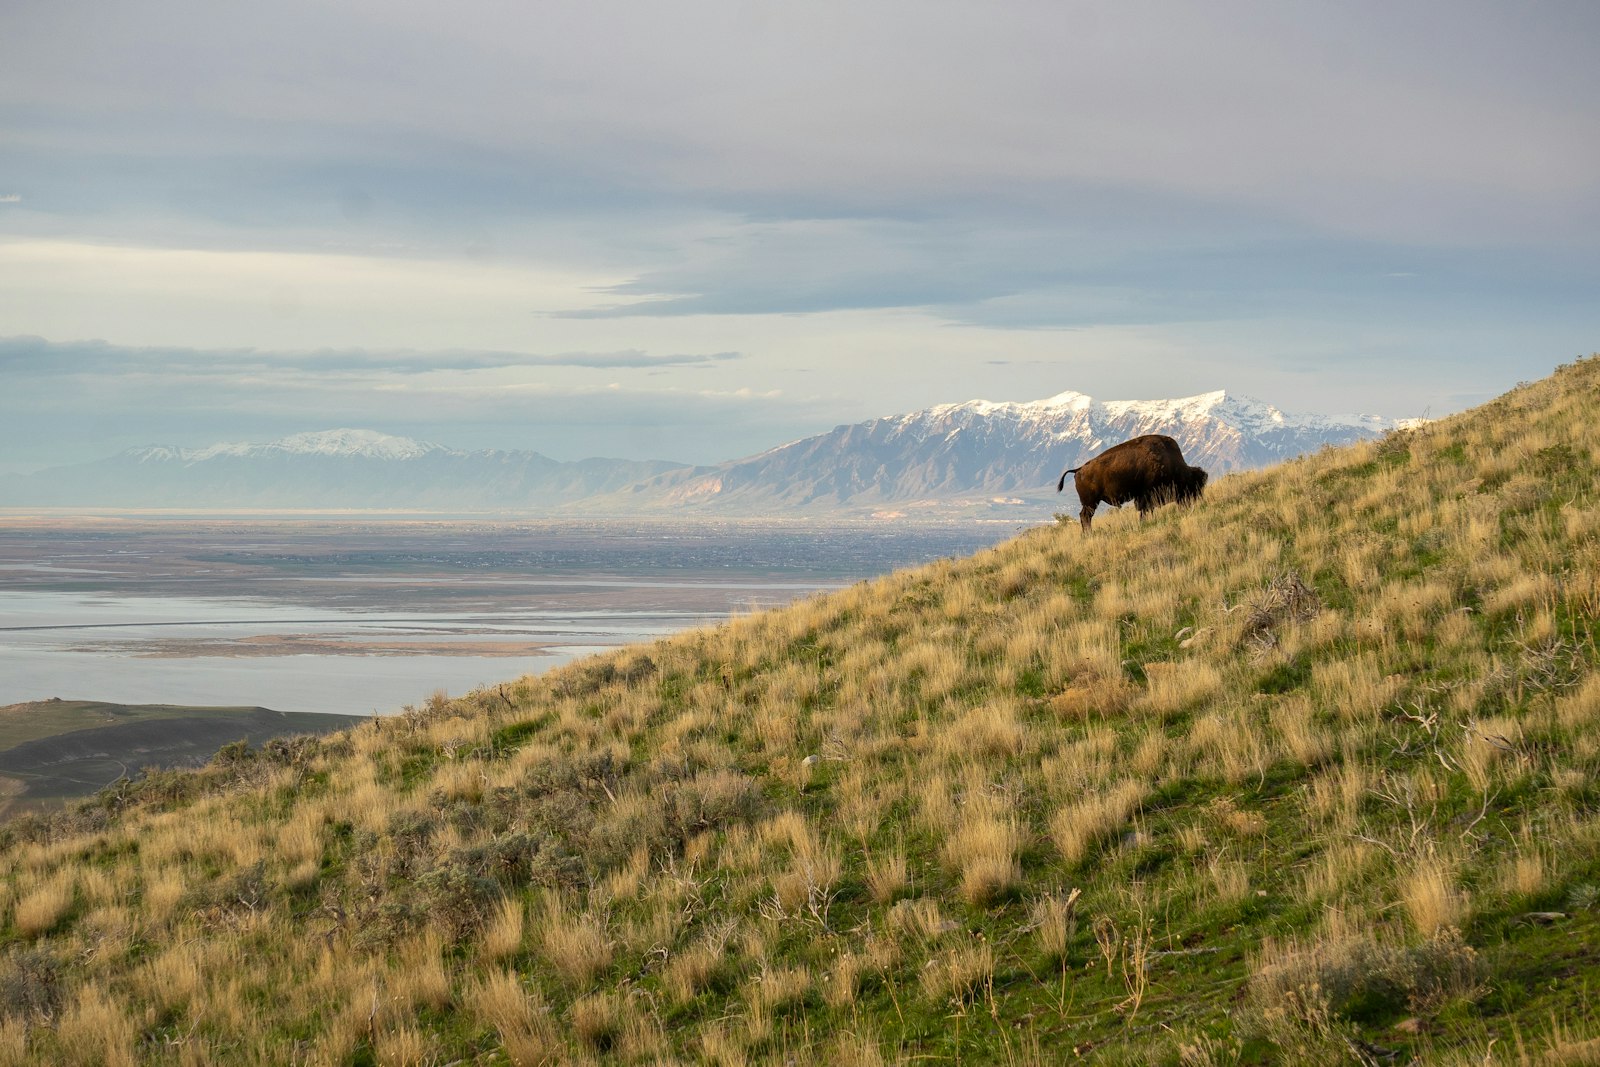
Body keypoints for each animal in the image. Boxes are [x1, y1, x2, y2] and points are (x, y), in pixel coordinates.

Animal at [1056, 434, 1207, 532]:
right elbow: (1144, 511)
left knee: (1085, 517)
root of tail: (1079, 469)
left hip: (1090, 503)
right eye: (1193, 485)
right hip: (1090, 503)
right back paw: (1088, 534)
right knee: (1085, 517)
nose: (1196, 501)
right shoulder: (1146, 496)